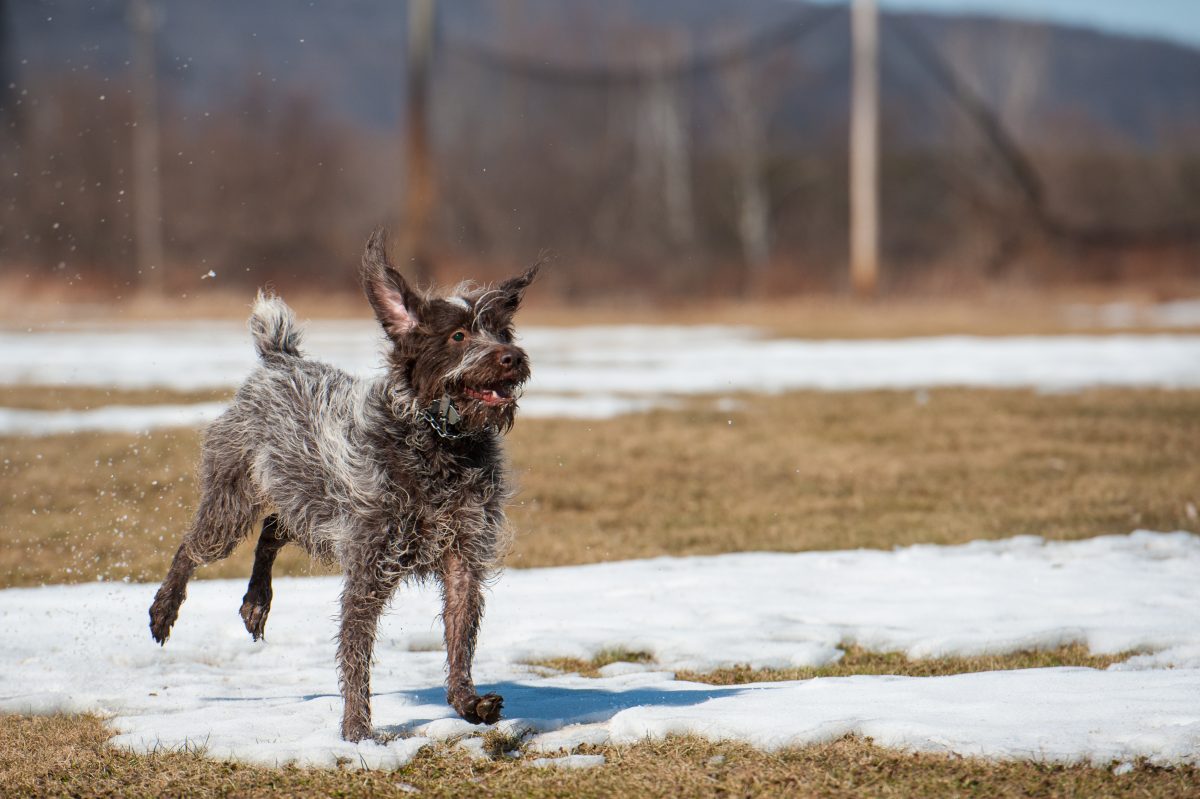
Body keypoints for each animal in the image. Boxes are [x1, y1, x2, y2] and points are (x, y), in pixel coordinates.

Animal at [146, 230, 540, 739]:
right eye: (459, 335)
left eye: (504, 332)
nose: (512, 357)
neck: (438, 442)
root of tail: (279, 359)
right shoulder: (369, 562)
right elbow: (356, 652)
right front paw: (357, 731)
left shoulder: (462, 557)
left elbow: (459, 638)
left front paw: (466, 702)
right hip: (232, 506)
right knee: (192, 548)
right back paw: (165, 608)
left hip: (308, 505)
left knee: (272, 530)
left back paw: (256, 602)